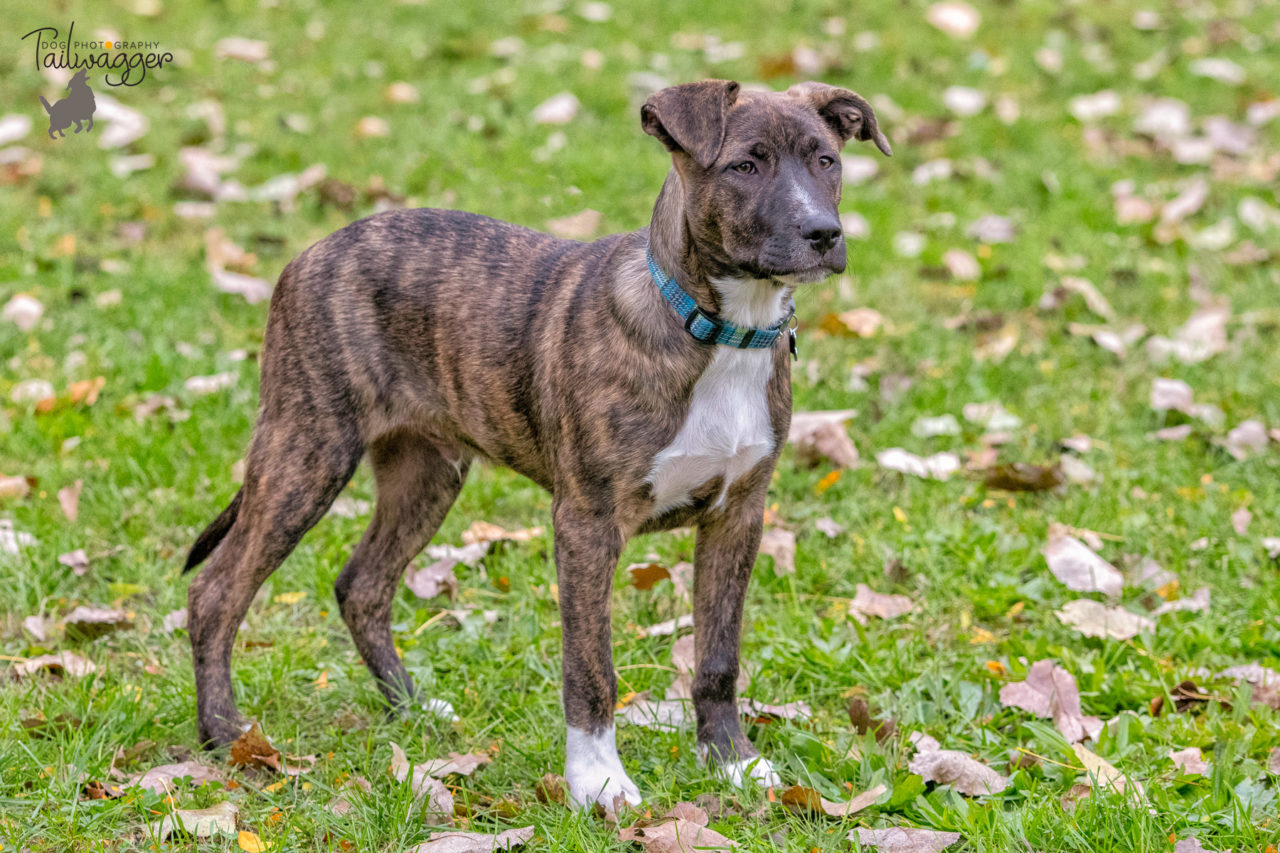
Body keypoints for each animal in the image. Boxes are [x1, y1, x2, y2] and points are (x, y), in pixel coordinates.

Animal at [185, 78, 890, 804]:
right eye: (745, 166)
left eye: (826, 161)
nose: (824, 233)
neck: (719, 329)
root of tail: (308, 253)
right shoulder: (587, 522)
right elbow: (590, 663)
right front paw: (598, 780)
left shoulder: (738, 514)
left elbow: (719, 654)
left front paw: (729, 761)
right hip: (308, 447)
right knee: (217, 591)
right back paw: (225, 735)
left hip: (426, 472)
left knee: (362, 585)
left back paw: (410, 707)